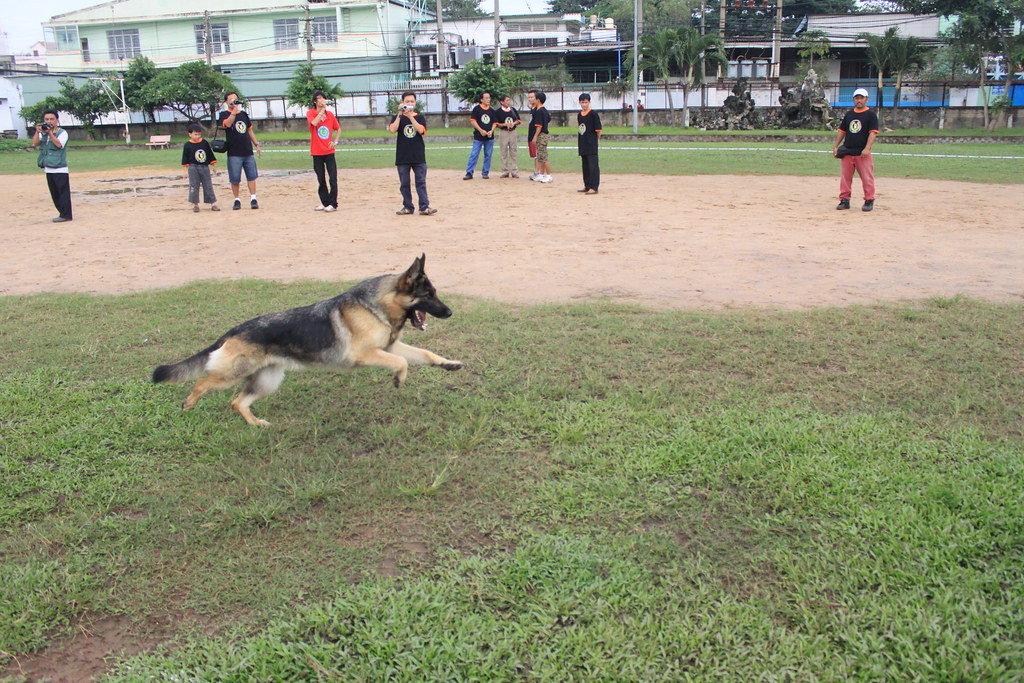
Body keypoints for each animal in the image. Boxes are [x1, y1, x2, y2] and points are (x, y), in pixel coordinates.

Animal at [151, 255, 464, 428]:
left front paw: (449, 364)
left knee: (237, 402)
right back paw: (188, 404)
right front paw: (399, 380)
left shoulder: (389, 347)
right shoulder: (367, 354)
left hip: (267, 381)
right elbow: (401, 363)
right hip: (233, 374)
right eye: (428, 295)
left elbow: (425, 353)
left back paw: (255, 424)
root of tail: (234, 330)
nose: (450, 312)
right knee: (202, 382)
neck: (375, 307)